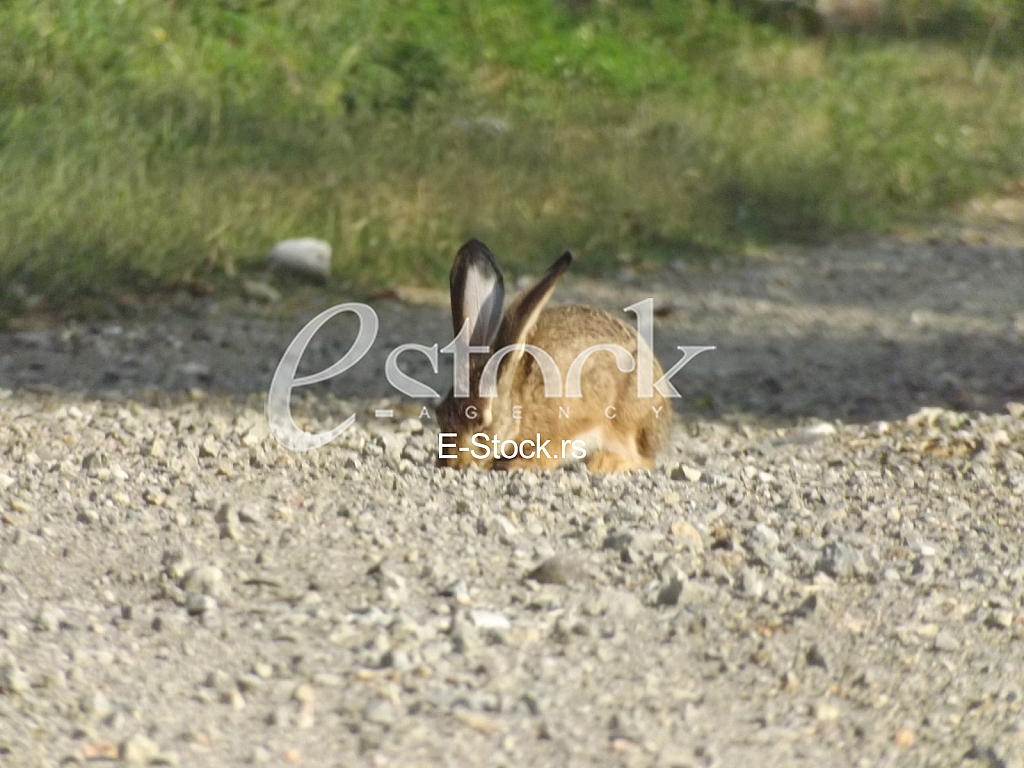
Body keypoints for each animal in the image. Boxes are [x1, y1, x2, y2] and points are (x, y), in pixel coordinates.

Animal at [436, 238, 672, 472]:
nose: (454, 463)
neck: (519, 399)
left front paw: (521, 463)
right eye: (440, 415)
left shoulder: (572, 421)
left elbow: (554, 446)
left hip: (629, 417)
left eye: (483, 428)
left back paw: (604, 462)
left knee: (643, 458)